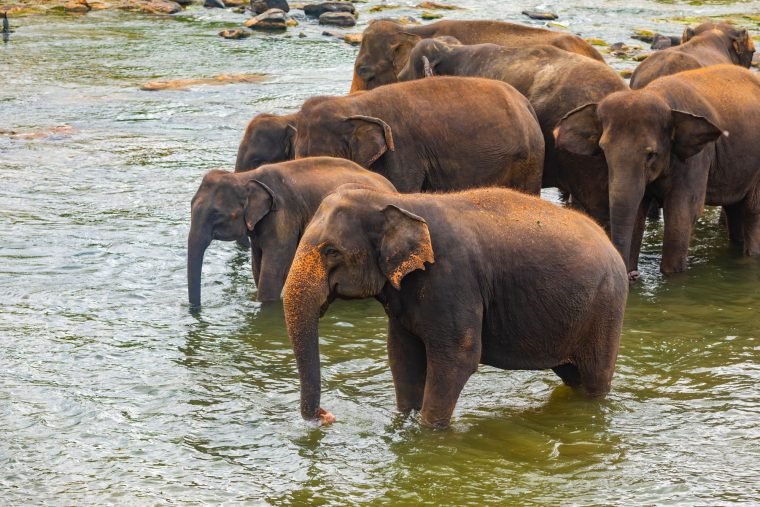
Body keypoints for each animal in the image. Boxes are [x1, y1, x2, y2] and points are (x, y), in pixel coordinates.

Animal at [187, 157, 396, 307]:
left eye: (216, 214)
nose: (196, 309)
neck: (245, 177)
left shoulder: (282, 216)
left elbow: (272, 270)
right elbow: (257, 265)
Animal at [283, 186, 628, 427]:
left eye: (331, 251)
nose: (327, 416)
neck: (397, 200)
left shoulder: (453, 280)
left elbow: (457, 358)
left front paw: (430, 435)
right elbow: (402, 355)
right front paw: (404, 423)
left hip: (606, 308)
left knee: (594, 379)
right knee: (573, 375)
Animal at [554, 65, 760, 277]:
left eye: (651, 154)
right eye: (603, 150)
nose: (632, 276)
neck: (662, 98)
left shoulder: (696, 160)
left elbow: (681, 215)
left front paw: (671, 276)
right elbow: (637, 212)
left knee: (752, 211)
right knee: (735, 208)